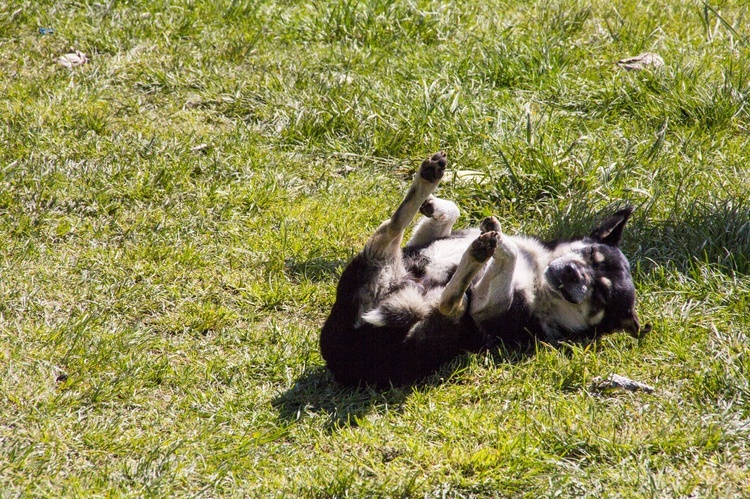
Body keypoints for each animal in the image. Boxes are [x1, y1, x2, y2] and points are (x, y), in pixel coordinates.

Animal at [320, 152, 644, 386]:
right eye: (592, 255)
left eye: (601, 295)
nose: (573, 274)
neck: (539, 275)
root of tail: (346, 354)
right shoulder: (422, 242)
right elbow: (453, 213)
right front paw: (438, 206)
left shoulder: (483, 308)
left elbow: (507, 254)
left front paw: (498, 243)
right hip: (381, 260)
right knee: (394, 226)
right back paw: (430, 177)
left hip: (443, 310)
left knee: (448, 300)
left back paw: (476, 255)